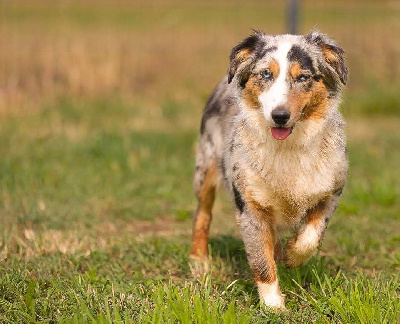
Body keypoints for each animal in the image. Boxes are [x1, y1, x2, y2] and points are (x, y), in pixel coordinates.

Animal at [189, 30, 348, 308]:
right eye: (265, 74)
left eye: (303, 77)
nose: (280, 115)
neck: (288, 148)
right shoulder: (250, 203)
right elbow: (261, 260)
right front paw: (273, 306)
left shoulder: (331, 188)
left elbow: (312, 234)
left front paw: (292, 256)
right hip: (206, 167)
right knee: (203, 214)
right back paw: (200, 261)